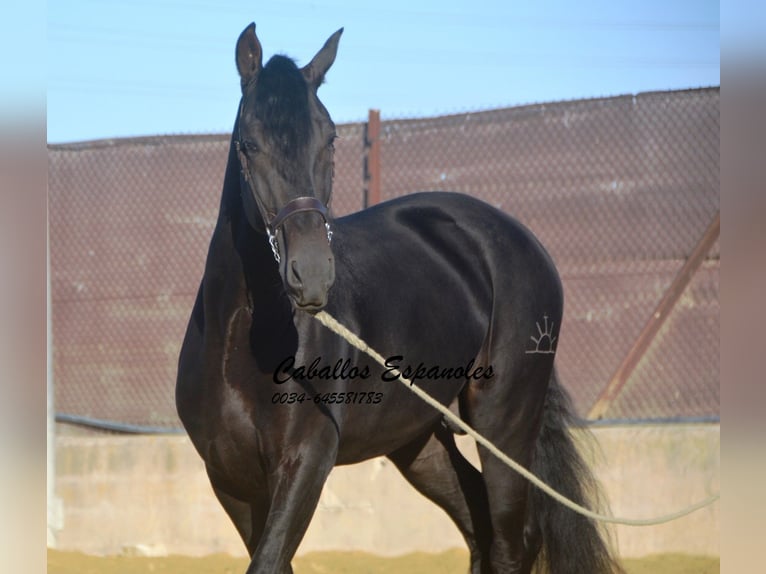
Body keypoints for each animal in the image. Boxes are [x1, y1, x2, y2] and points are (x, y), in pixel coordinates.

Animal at [178, 23, 624, 574]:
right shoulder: (230, 479)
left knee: (510, 541)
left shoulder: (306, 461)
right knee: (479, 527)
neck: (241, 339)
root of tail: (520, 240)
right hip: (419, 440)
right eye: (250, 143)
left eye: (330, 138)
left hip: (505, 424)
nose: (311, 275)